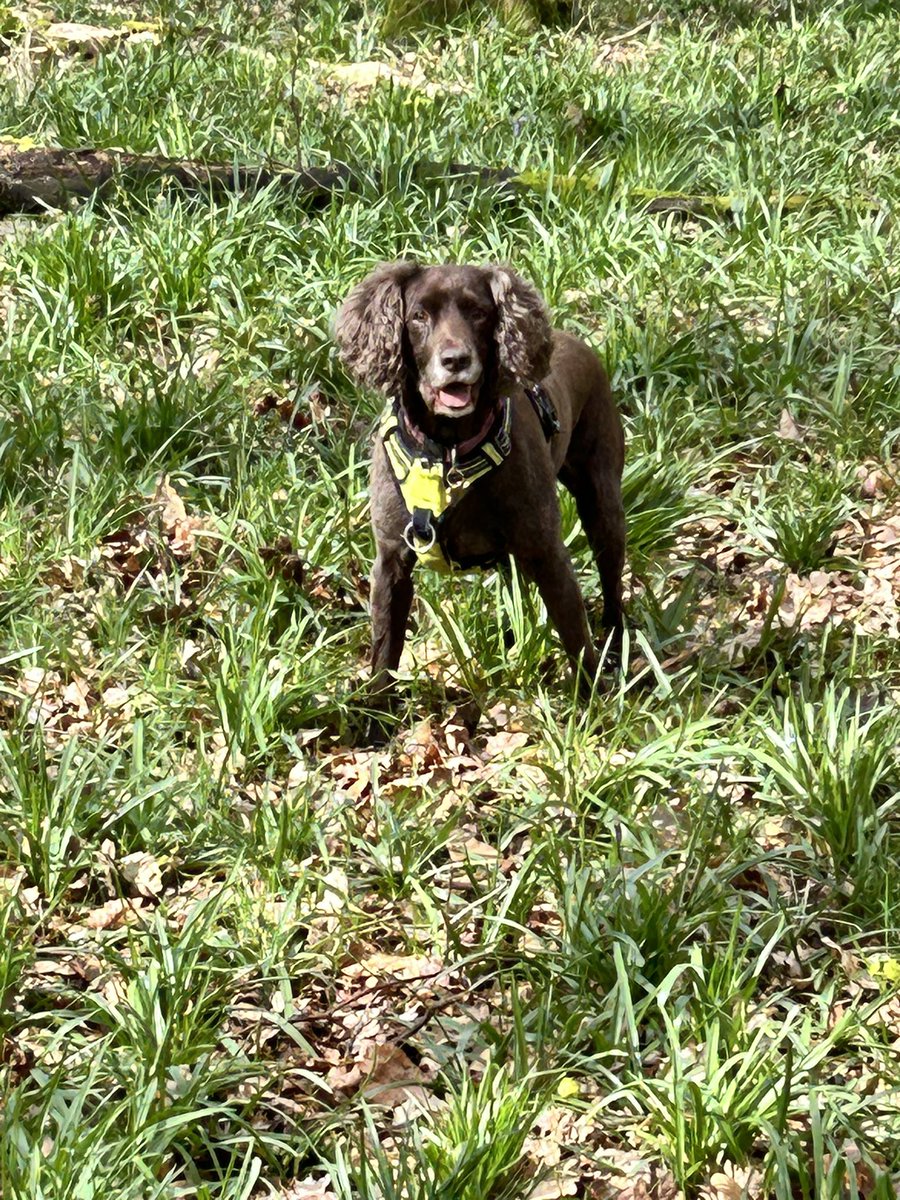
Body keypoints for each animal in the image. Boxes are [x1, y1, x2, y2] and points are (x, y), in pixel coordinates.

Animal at [338, 258, 628, 700]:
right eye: (418, 316)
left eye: (478, 312)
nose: (455, 359)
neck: (448, 452)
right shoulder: (391, 562)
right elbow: (385, 649)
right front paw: (376, 713)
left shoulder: (547, 553)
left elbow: (575, 636)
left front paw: (591, 705)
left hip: (602, 502)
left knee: (612, 583)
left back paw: (615, 644)